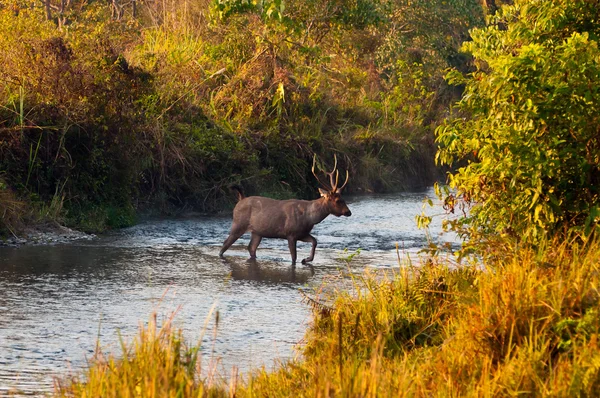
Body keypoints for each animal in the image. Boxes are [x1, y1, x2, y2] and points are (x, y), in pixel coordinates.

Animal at [220, 155, 352, 264]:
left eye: (343, 198)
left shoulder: (302, 233)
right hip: (238, 224)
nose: (348, 212)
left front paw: (306, 259)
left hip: (257, 232)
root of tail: (240, 200)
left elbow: (314, 241)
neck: (309, 217)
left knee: (251, 248)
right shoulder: (290, 233)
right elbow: (294, 258)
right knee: (225, 244)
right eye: (338, 200)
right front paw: (302, 260)